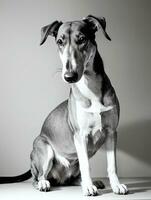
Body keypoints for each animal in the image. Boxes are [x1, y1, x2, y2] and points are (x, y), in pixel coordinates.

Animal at [0, 15, 128, 195]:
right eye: (60, 42)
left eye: (82, 39)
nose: (69, 76)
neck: (90, 87)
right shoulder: (80, 135)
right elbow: (86, 165)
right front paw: (89, 187)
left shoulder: (111, 132)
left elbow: (112, 165)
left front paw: (116, 185)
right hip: (43, 149)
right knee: (38, 178)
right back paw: (45, 183)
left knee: (73, 178)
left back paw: (89, 182)